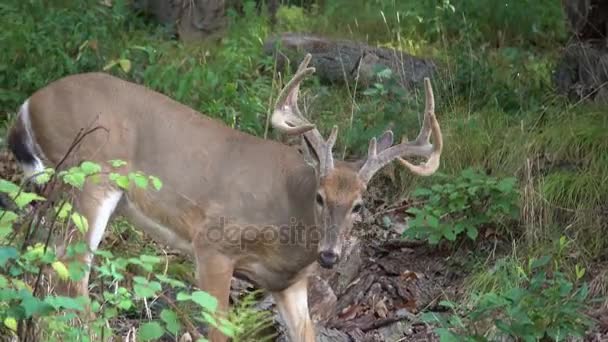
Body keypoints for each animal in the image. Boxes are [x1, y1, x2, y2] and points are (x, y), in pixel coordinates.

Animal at [7, 53, 444, 340]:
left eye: (359, 204)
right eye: (320, 197)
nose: (330, 256)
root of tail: (27, 105)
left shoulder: (288, 283)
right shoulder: (214, 243)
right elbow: (219, 329)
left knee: (45, 266)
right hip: (89, 175)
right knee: (69, 274)